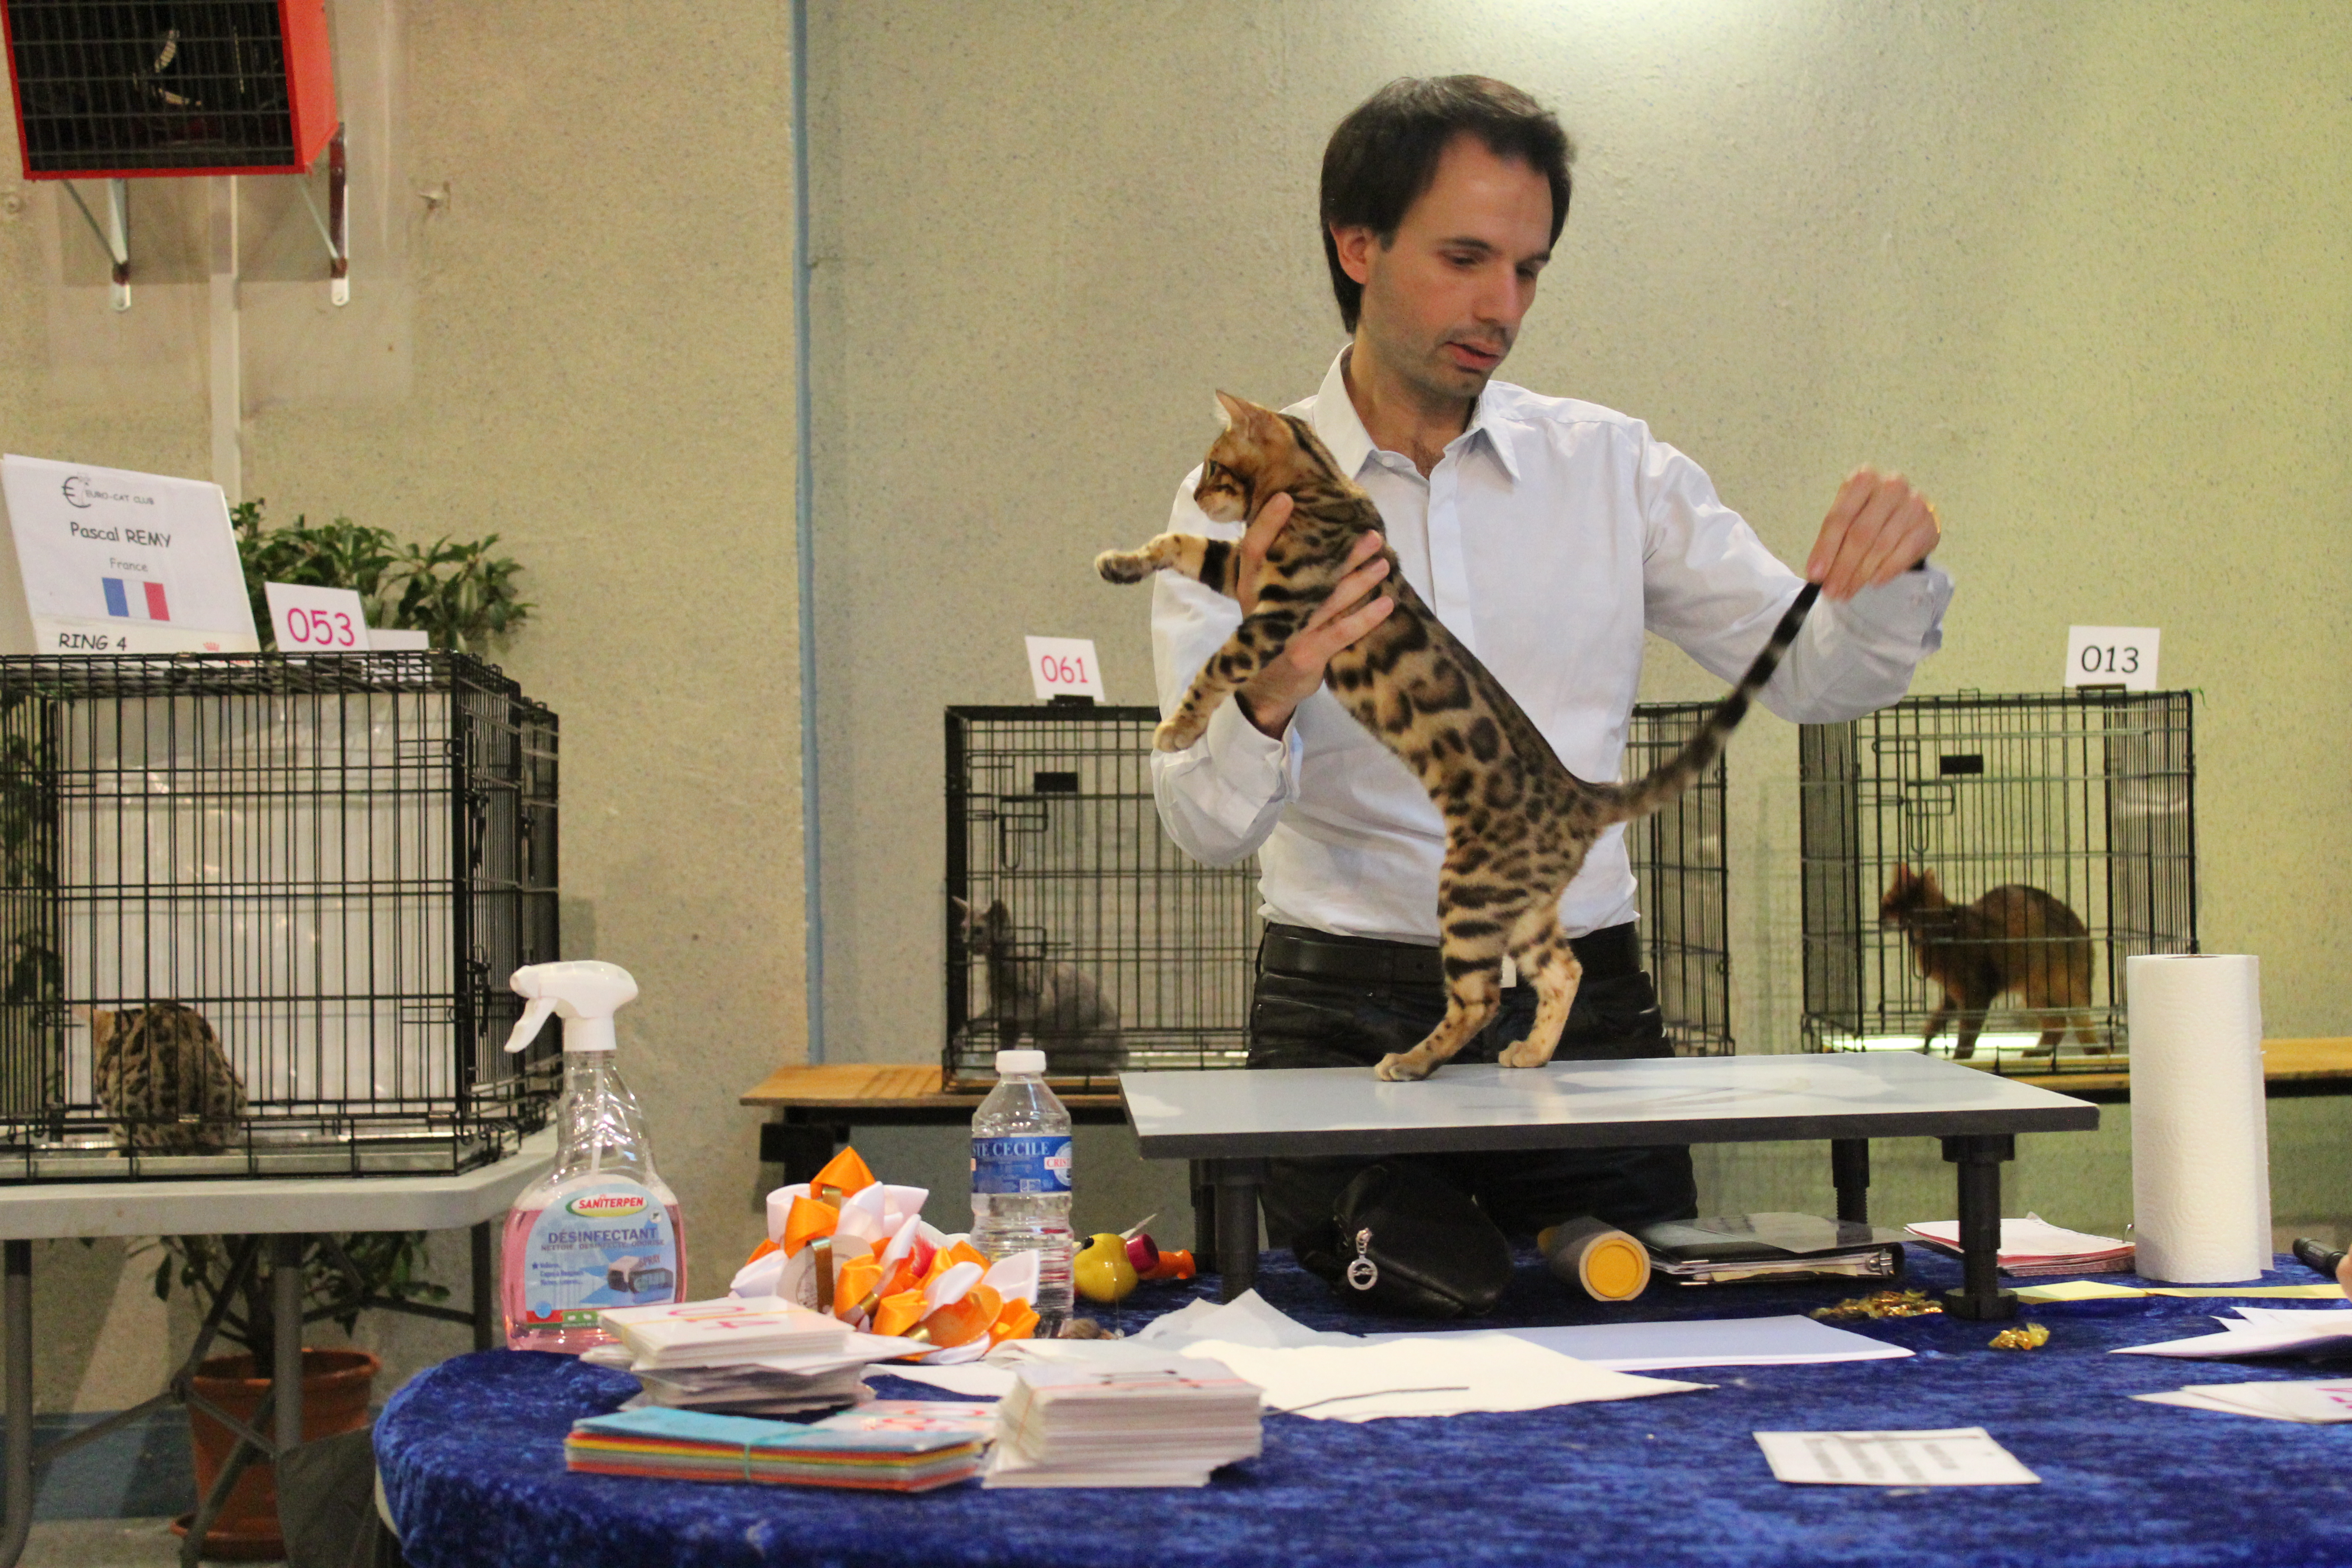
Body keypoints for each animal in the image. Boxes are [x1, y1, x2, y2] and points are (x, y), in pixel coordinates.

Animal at [1096, 390, 1816, 1091]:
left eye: (1216, 466)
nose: (1198, 494)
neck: (1319, 484)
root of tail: (1581, 796)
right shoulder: (1246, 570)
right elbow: (1183, 544)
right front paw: (1119, 562)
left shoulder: (1281, 612)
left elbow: (1216, 665)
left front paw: (1177, 726)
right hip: (1525, 906)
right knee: (1564, 971)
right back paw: (1530, 1054)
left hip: (1470, 890)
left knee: (1481, 999)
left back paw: (1413, 1062)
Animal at [1882, 865, 2107, 1062]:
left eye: (1887, 902)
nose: (1879, 916)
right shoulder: (1953, 994)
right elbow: (1937, 1020)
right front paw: (1927, 1040)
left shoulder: (1976, 993)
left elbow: (1967, 1036)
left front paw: (1960, 1059)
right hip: (2035, 993)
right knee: (2057, 1026)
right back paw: (2038, 1053)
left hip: (2057, 985)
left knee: (2074, 1024)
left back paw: (2089, 1052)